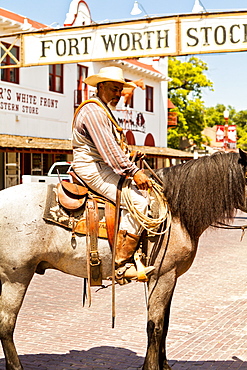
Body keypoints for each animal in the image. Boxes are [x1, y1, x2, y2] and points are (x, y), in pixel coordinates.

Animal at [0, 149, 247, 368]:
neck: (176, 213)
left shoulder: (171, 277)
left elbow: (165, 324)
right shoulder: (162, 276)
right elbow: (155, 326)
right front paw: (151, 367)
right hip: (16, 277)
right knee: (6, 326)